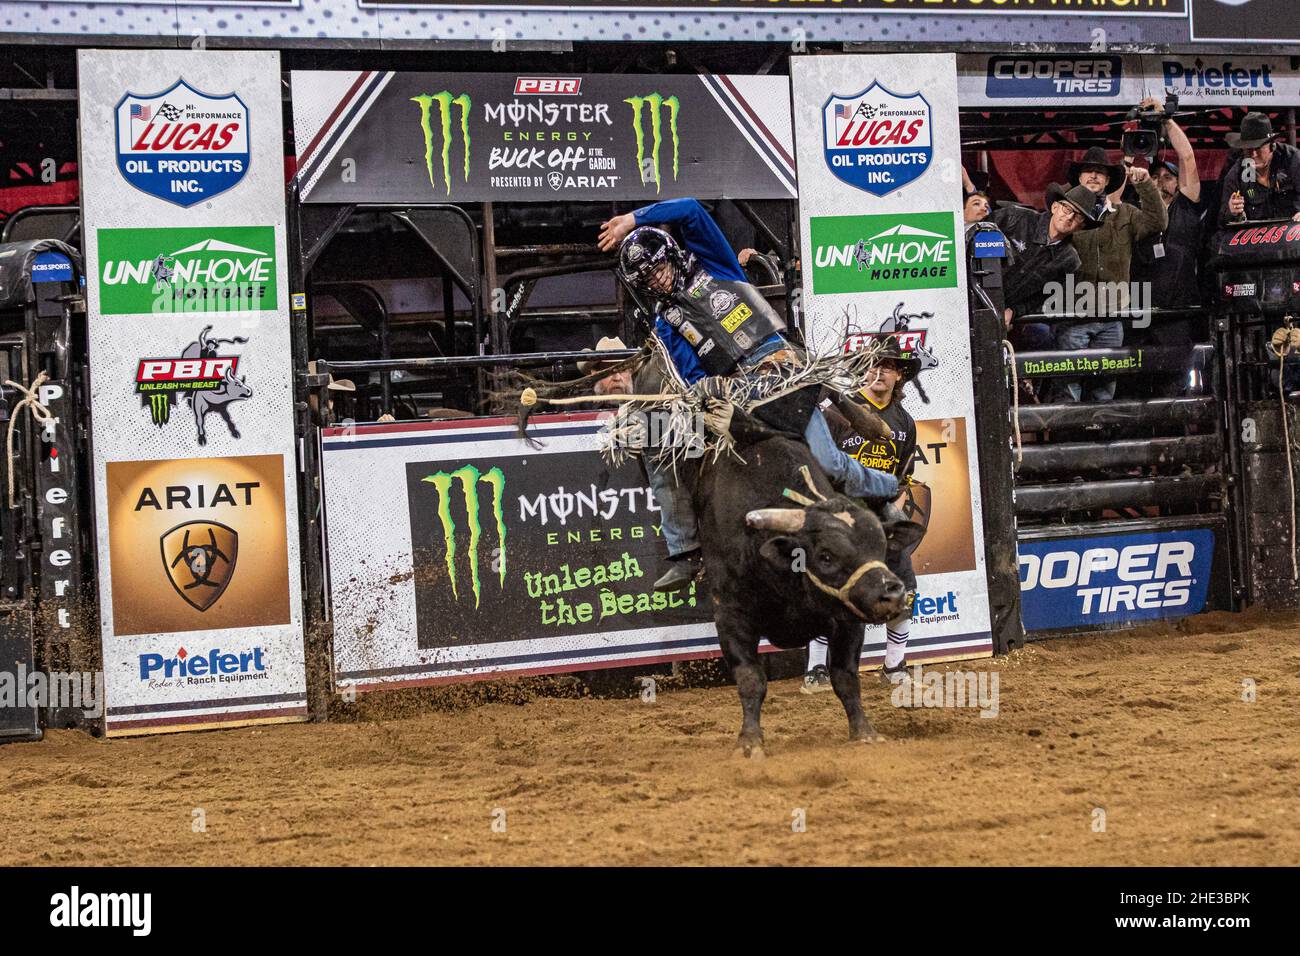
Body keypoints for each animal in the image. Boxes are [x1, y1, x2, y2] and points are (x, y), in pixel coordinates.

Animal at [691, 426, 925, 754]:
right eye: (825, 556)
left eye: (880, 546)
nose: (890, 593)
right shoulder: (730, 616)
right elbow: (751, 679)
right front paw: (749, 742)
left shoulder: (847, 618)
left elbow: (846, 678)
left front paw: (864, 732)